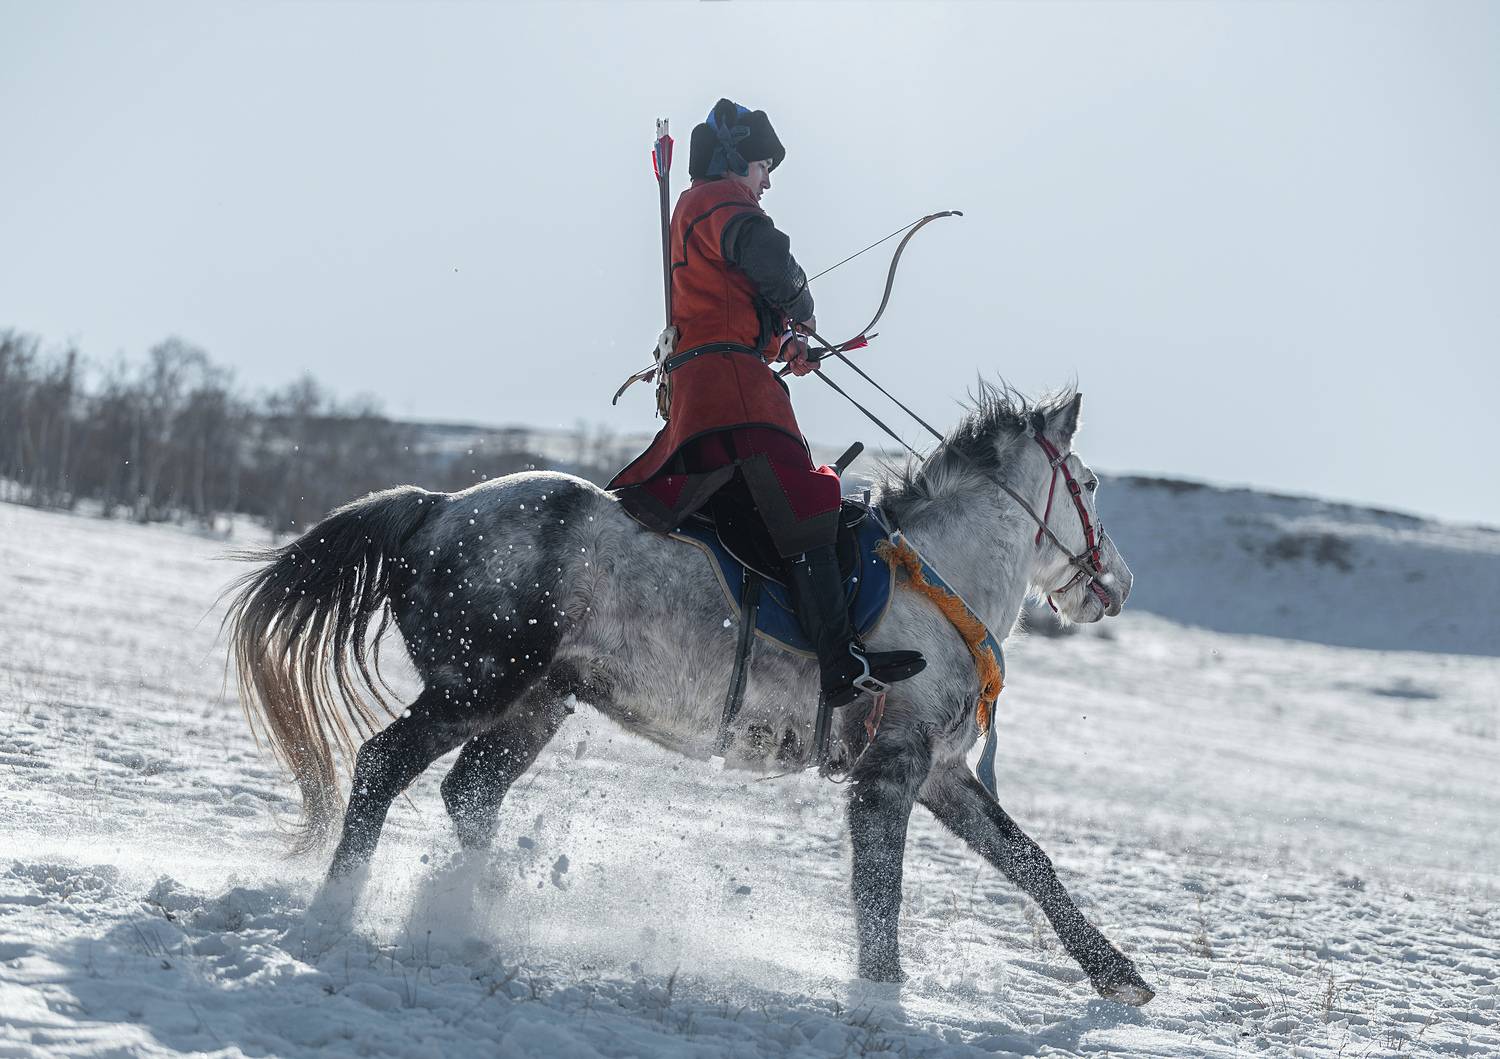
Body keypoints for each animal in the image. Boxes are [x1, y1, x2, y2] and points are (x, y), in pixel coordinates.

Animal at [225, 384, 1154, 1005]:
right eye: (1089, 484)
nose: (1116, 582)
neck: (937, 583)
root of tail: (440, 505)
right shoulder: (889, 772)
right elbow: (880, 891)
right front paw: (883, 992)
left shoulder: (940, 771)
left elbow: (1027, 858)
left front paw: (1119, 974)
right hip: (473, 688)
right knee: (383, 766)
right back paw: (339, 906)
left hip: (535, 705)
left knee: (471, 791)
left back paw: (479, 910)